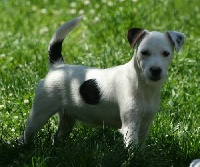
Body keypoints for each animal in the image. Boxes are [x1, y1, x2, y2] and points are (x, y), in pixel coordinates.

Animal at [19, 17, 185, 147]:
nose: (155, 70)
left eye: (166, 54)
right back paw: (24, 146)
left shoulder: (145, 124)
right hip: (40, 113)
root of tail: (57, 66)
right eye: (144, 52)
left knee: (58, 135)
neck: (143, 86)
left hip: (67, 118)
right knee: (28, 132)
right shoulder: (130, 126)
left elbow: (141, 146)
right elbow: (133, 147)